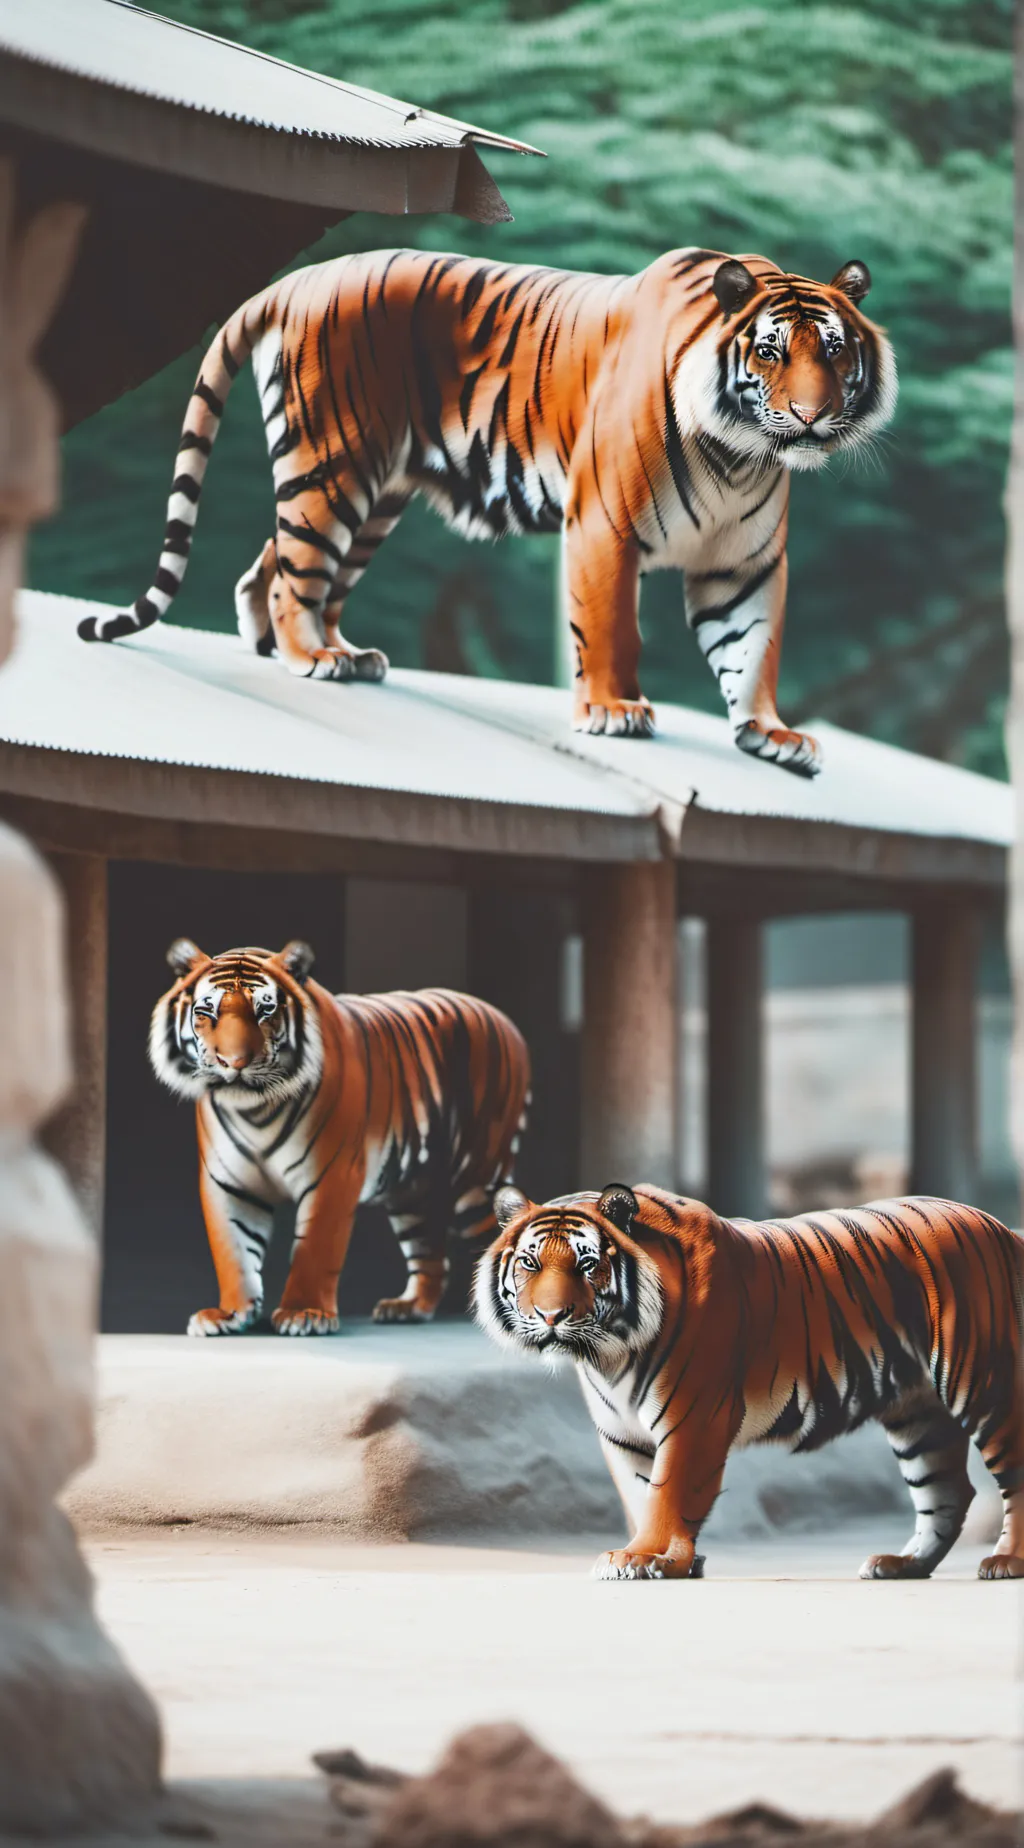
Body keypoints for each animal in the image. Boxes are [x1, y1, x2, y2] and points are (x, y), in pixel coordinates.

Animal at [78, 245, 896, 776]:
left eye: (832, 350)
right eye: (768, 353)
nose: (810, 416)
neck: (739, 452)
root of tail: (296, 280)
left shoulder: (746, 564)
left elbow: (753, 649)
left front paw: (770, 734)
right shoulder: (606, 525)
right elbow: (611, 628)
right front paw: (614, 710)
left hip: (374, 493)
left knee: (279, 569)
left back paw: (325, 653)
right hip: (334, 465)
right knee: (293, 576)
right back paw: (311, 657)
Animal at [149, 938, 530, 1336]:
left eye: (265, 1010)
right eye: (206, 1011)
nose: (234, 1062)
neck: (254, 1110)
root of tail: (505, 1021)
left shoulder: (331, 1174)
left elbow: (315, 1248)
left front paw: (304, 1313)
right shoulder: (225, 1182)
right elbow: (233, 1252)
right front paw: (229, 1314)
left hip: (478, 1179)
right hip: (414, 1191)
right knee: (431, 1255)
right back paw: (408, 1307)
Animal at [475, 1182, 1024, 1582]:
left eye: (588, 1264)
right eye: (529, 1263)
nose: (550, 1316)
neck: (610, 1355)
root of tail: (1005, 1231)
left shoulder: (692, 1421)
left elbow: (668, 1494)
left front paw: (647, 1558)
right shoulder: (622, 1435)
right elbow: (640, 1493)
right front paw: (666, 1558)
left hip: (985, 1385)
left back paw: (1006, 1562)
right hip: (918, 1412)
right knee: (948, 1491)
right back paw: (902, 1565)